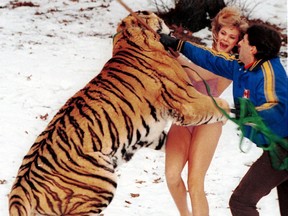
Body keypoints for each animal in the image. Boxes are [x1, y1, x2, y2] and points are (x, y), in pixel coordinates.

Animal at [8, 10, 230, 216]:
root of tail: (20, 188)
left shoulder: (151, 134)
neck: (127, 38)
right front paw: (230, 111)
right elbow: (216, 105)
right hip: (102, 182)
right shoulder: (186, 99)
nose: (171, 27)